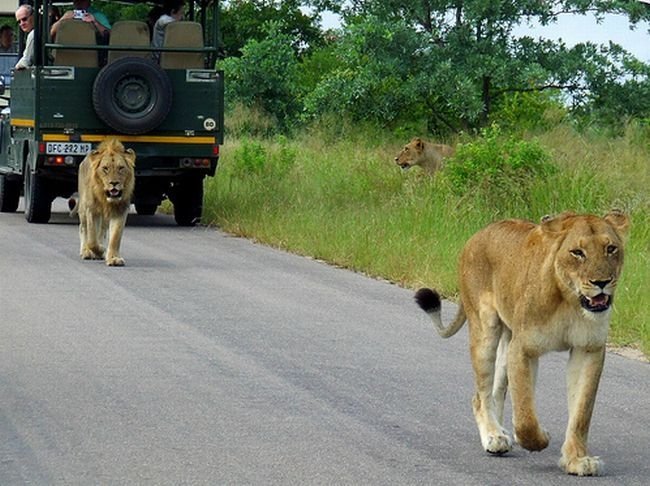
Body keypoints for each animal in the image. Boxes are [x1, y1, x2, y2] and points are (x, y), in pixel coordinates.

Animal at [75, 137, 135, 266]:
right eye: (105, 168)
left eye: (121, 168)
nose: (114, 183)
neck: (105, 199)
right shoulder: (91, 210)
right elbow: (92, 240)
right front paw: (100, 249)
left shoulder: (120, 211)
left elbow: (115, 237)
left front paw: (113, 258)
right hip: (83, 209)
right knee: (83, 228)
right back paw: (86, 252)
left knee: (102, 231)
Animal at [416, 210, 628, 474]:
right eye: (577, 252)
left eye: (610, 248)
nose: (602, 282)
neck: (570, 301)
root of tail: (478, 234)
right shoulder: (523, 349)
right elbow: (526, 415)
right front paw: (541, 437)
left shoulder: (588, 349)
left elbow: (581, 412)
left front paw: (578, 460)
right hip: (486, 329)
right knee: (480, 396)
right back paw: (494, 437)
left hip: (508, 339)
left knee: (496, 392)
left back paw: (501, 431)